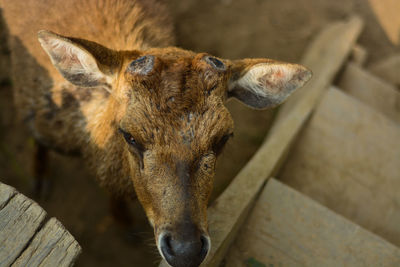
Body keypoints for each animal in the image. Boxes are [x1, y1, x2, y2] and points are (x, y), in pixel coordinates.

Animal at [0, 0, 312, 267]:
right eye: (130, 135)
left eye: (223, 137)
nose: (186, 250)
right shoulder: (35, 114)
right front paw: (40, 180)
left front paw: (125, 225)